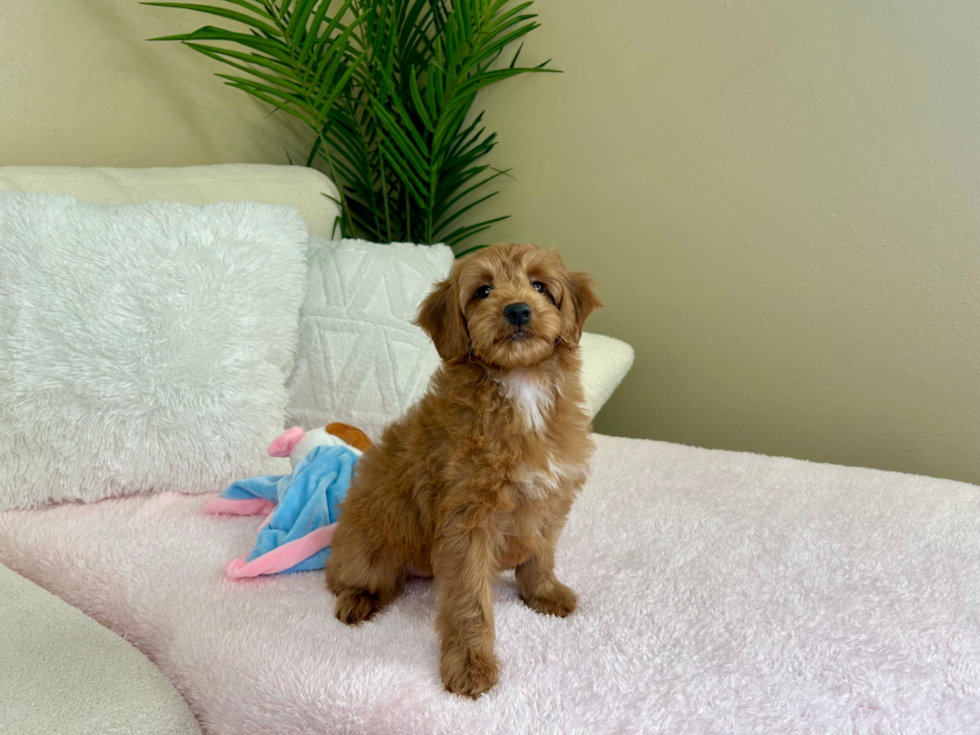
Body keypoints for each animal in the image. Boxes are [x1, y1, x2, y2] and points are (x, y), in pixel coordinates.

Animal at [326, 243, 600, 700]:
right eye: (483, 291)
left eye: (540, 286)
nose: (518, 310)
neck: (520, 387)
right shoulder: (466, 522)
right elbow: (470, 602)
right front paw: (470, 665)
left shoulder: (550, 498)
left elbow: (540, 555)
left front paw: (543, 595)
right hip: (370, 549)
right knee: (343, 575)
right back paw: (356, 600)